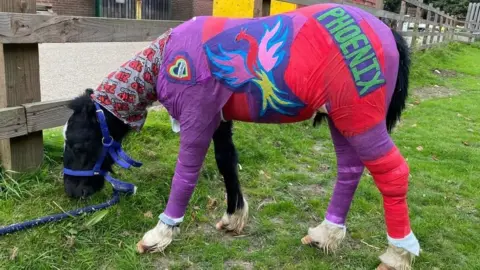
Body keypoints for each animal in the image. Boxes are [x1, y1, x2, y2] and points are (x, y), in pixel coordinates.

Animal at [62, 3, 420, 268]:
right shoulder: (219, 119)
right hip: (341, 120)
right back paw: (325, 235)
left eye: (79, 143)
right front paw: (233, 217)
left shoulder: (198, 118)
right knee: (350, 170)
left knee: (393, 172)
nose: (72, 192)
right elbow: (226, 162)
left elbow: (186, 173)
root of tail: (389, 30)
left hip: (360, 118)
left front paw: (160, 234)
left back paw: (397, 255)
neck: (168, 59)